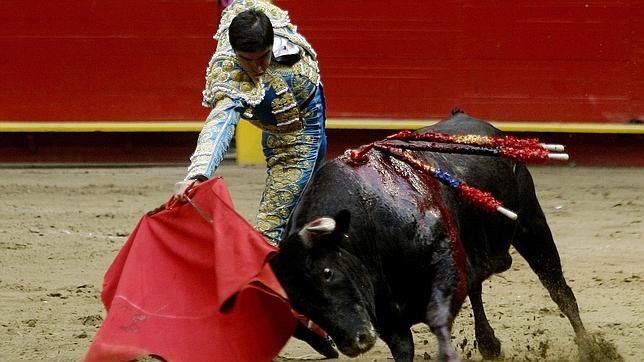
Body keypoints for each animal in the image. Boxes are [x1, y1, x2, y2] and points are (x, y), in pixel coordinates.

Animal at [270, 111, 600, 360]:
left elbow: (439, 319)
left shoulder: (446, 268)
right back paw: (489, 344)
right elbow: (405, 349)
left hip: (532, 225)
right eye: (298, 303)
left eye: (327, 273)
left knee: (558, 289)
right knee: (478, 286)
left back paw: (589, 349)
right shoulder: (388, 317)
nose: (356, 342)